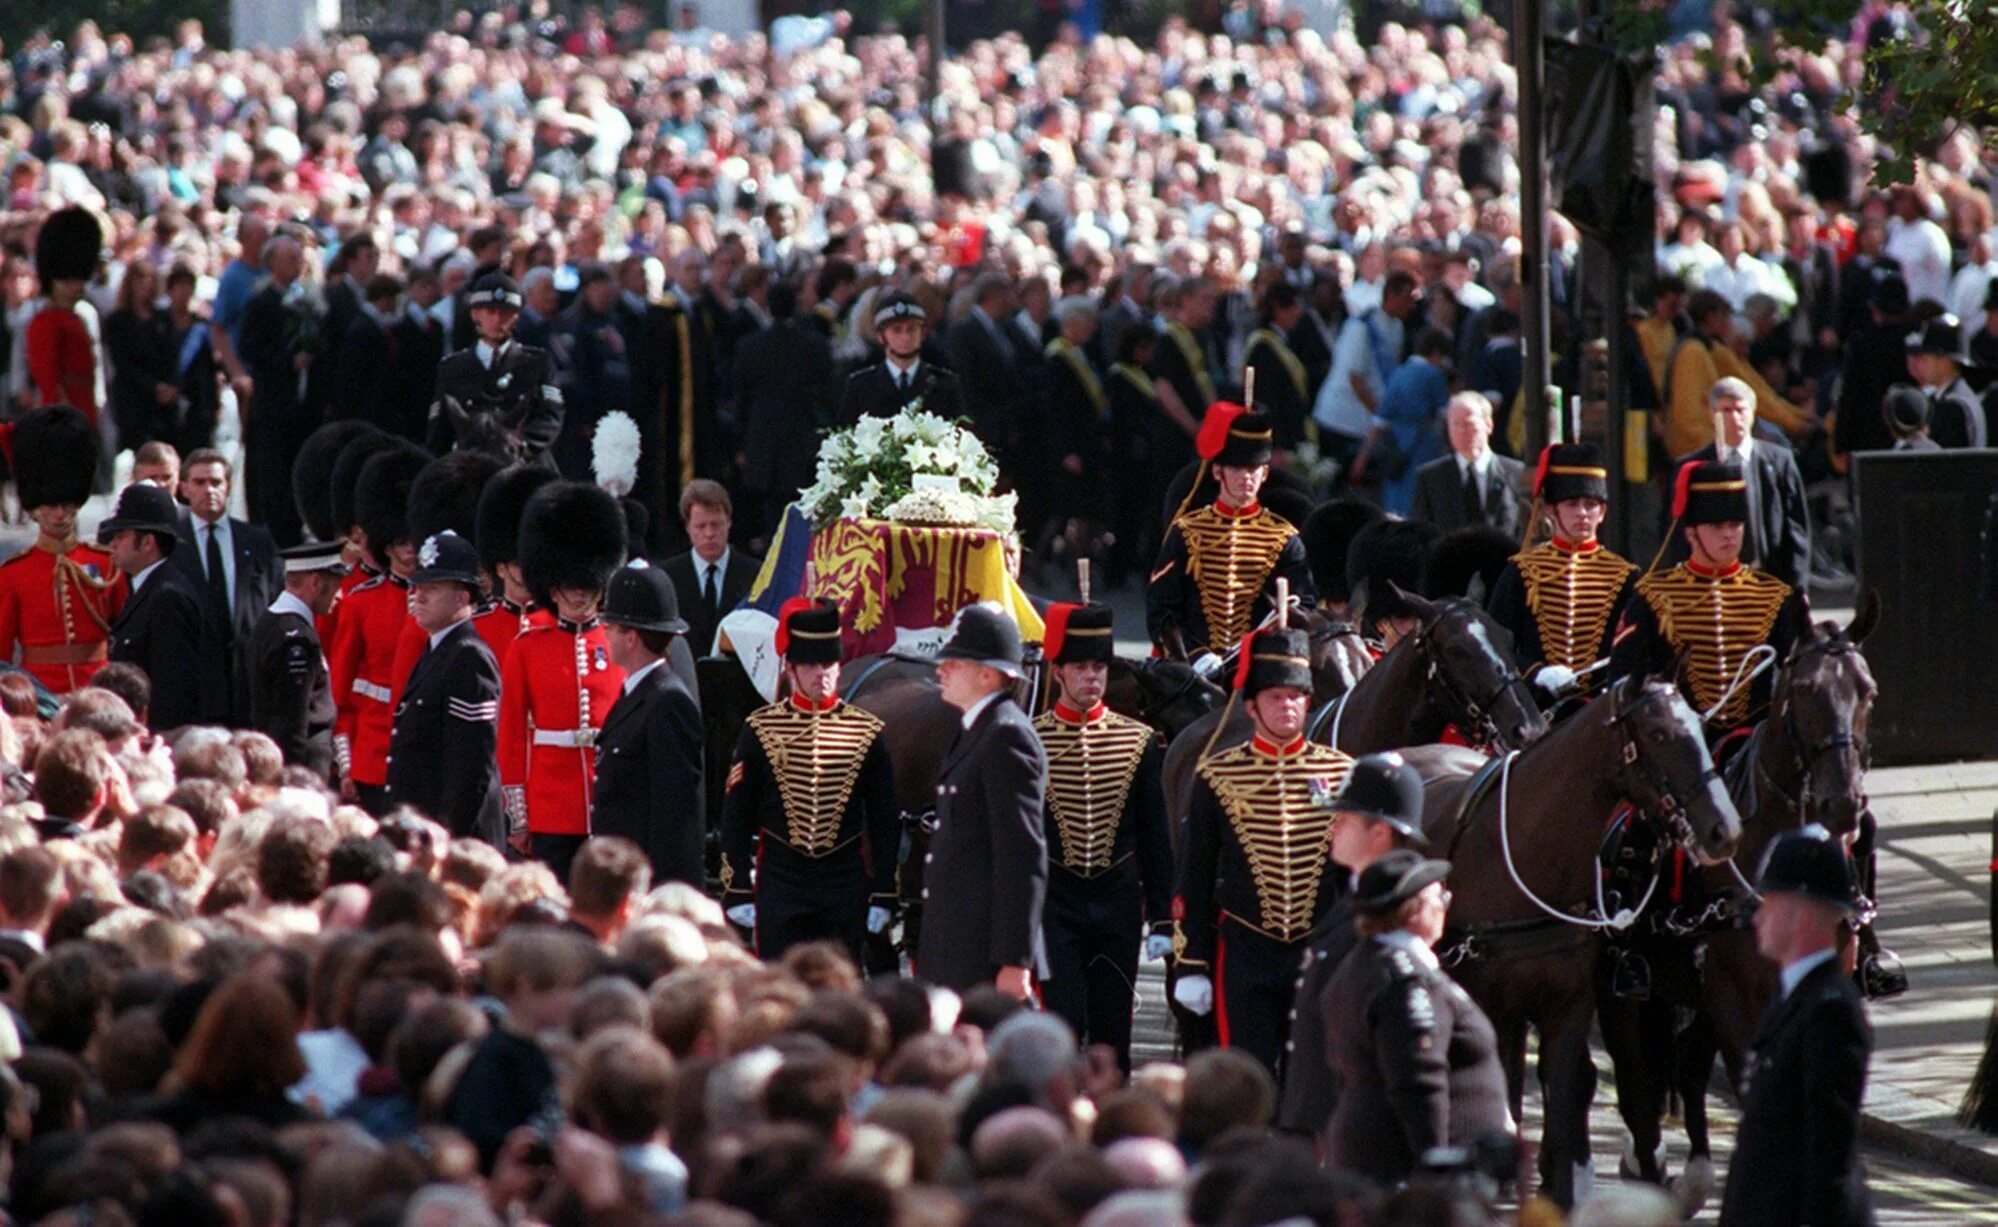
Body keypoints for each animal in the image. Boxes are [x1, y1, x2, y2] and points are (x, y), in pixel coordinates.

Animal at [1398, 671, 1742, 1215]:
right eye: (1658, 734)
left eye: (1700, 729)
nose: (1723, 830)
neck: (1529, 851)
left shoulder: (1570, 1005)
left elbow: (1561, 1095)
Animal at [1590, 595, 1870, 1215]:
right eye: (1805, 689)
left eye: (1867, 690)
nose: (1842, 803)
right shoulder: (1729, 989)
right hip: (1623, 986)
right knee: (1636, 1078)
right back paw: (1650, 1165)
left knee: (1685, 1072)